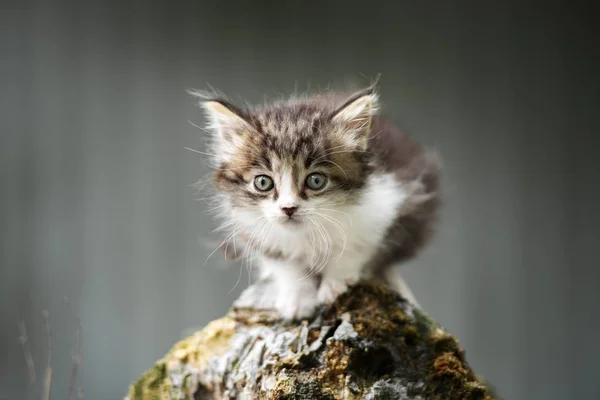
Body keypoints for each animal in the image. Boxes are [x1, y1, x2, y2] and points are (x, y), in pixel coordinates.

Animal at [192, 84, 440, 318]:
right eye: (263, 182)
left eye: (316, 180)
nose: (288, 208)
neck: (306, 233)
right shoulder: (251, 228)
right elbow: (285, 264)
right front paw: (297, 298)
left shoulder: (386, 204)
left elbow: (355, 247)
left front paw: (335, 284)